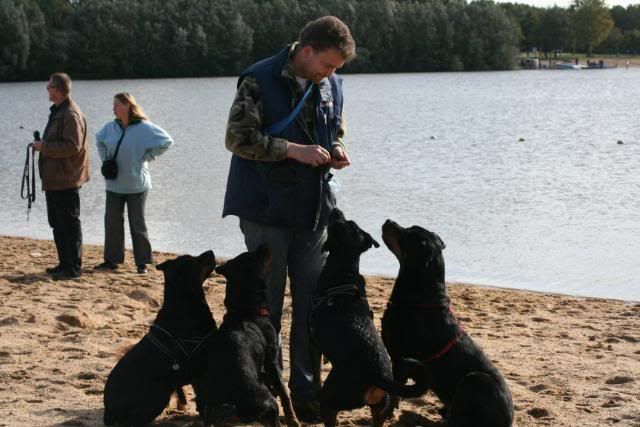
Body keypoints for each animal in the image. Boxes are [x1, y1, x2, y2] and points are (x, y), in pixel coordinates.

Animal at [103, 251, 218, 427]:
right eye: (195, 260)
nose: (211, 252)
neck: (184, 304)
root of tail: (109, 411)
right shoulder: (201, 369)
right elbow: (205, 402)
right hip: (157, 396)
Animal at [201, 244, 298, 427]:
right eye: (256, 256)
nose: (264, 244)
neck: (245, 310)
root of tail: (231, 403)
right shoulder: (271, 361)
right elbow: (284, 392)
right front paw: (293, 420)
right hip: (269, 404)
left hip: (210, 409)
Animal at [310, 210, 430, 427]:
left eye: (342, 222)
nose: (336, 210)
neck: (345, 271)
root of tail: (378, 377)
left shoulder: (313, 341)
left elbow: (315, 372)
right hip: (380, 407)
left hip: (331, 399)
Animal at [380, 221, 516, 427]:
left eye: (408, 234)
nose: (389, 221)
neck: (420, 298)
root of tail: (508, 420)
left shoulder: (400, 360)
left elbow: (394, 393)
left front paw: (385, 414)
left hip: (476, 381)